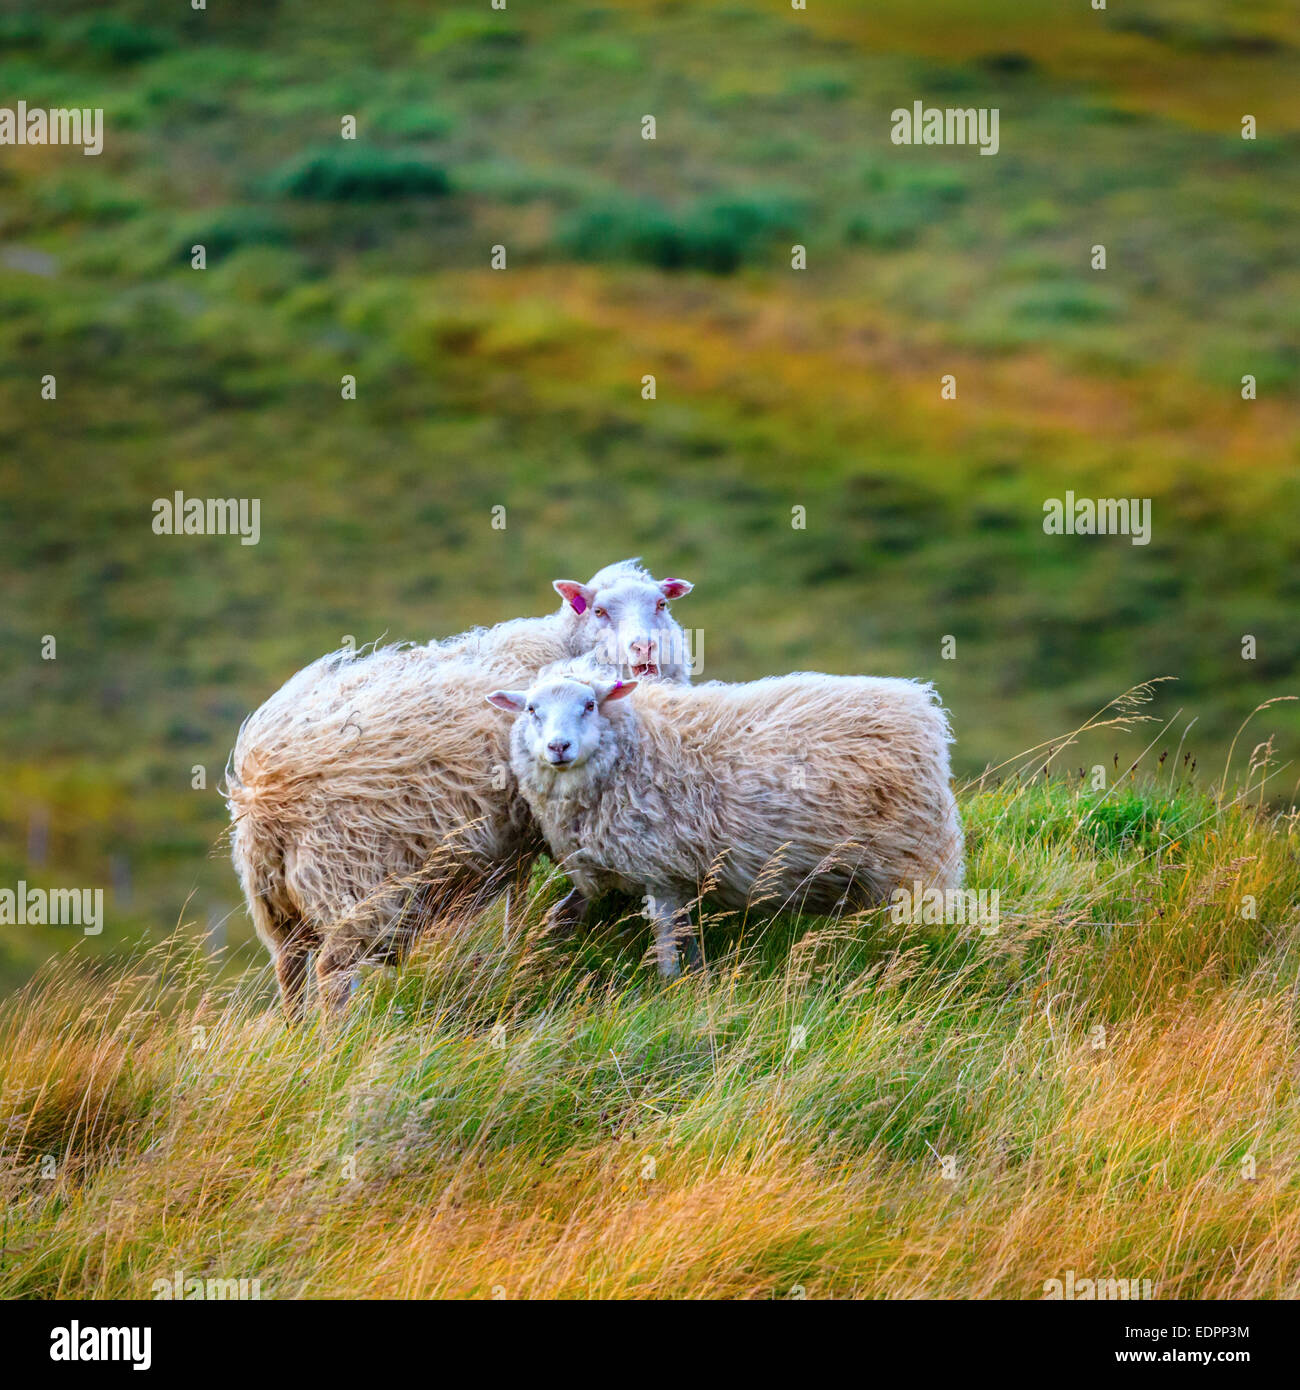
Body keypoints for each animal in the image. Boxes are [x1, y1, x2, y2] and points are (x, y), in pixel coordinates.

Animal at [228, 558, 695, 1017]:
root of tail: (263, 780)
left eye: (661, 604)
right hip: (350, 875)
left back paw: (298, 1031)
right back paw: (338, 1036)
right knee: (331, 971)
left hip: (273, 897)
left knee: (290, 971)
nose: (645, 649)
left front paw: (520, 947)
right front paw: (548, 935)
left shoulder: (518, 834)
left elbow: (519, 899)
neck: (564, 650)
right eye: (599, 611)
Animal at [483, 669, 962, 978]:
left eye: (588, 705)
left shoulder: (661, 865)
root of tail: (919, 705)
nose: (558, 747)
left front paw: (669, 984)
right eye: (531, 709)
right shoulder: (666, 870)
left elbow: (664, 933)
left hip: (911, 857)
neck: (635, 746)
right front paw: (695, 974)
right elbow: (677, 928)